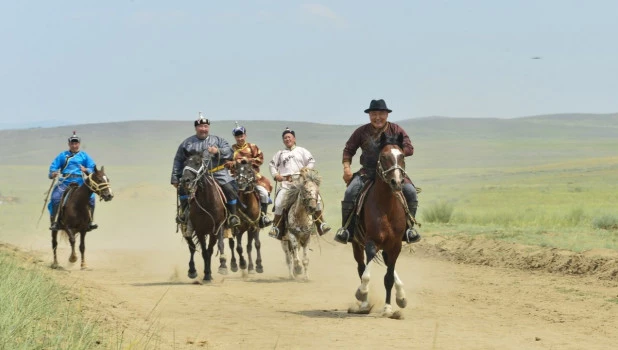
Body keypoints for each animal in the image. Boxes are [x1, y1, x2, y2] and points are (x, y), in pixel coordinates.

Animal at [179, 152, 225, 282]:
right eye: (184, 163)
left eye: (198, 162)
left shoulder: (216, 229)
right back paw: (192, 271)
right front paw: (207, 274)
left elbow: (212, 249)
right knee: (192, 247)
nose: (185, 180)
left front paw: (215, 270)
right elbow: (204, 252)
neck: (207, 202)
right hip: (187, 229)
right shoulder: (199, 230)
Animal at [352, 133, 410, 318]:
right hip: (357, 244)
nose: (396, 182)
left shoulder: (396, 245)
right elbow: (366, 275)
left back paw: (401, 297)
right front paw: (361, 292)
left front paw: (388, 308)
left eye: (402, 156)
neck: (386, 206)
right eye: (384, 157)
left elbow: (388, 277)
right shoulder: (371, 242)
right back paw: (364, 304)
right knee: (361, 268)